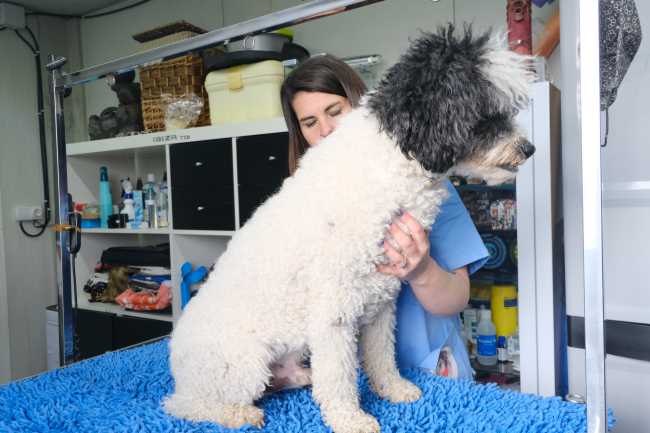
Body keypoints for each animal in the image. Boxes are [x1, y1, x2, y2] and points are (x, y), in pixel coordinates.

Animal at [162, 25, 532, 432]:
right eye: (488, 114)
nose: (529, 148)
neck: (388, 170)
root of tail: (177, 361)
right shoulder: (333, 311)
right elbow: (339, 376)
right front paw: (350, 418)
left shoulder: (381, 301)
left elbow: (382, 356)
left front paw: (393, 388)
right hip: (243, 363)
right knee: (181, 404)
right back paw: (236, 413)